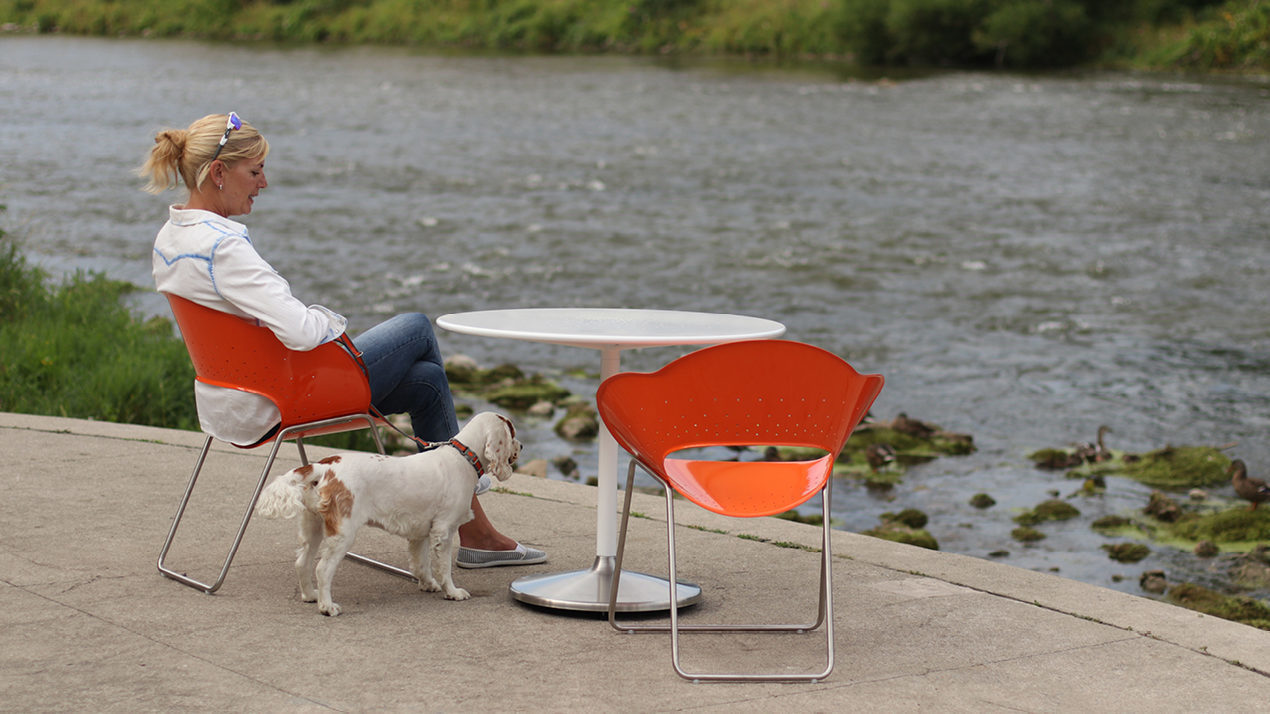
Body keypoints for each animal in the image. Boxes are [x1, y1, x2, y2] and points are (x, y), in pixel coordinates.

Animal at [255, 409, 518, 614]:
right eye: (513, 433)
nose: (522, 445)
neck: (462, 457)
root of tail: (324, 466)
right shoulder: (443, 531)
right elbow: (443, 568)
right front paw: (453, 592)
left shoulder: (421, 532)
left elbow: (421, 564)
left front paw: (428, 584)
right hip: (342, 534)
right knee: (322, 569)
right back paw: (327, 606)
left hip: (313, 527)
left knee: (302, 563)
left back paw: (311, 596)